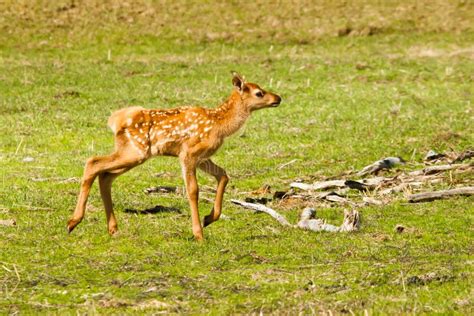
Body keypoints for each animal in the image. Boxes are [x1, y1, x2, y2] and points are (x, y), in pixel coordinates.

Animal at [66, 71, 282, 239]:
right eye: (259, 93)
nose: (278, 98)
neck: (220, 125)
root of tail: (115, 121)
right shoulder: (188, 153)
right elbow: (193, 190)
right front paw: (198, 234)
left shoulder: (203, 157)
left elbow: (223, 175)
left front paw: (209, 218)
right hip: (135, 151)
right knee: (93, 162)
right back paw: (73, 222)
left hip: (131, 153)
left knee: (105, 175)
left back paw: (112, 229)